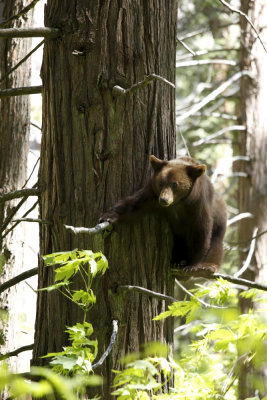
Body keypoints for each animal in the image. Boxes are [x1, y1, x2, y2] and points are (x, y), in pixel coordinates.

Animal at [100, 155, 228, 274]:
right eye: (161, 182)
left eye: (175, 184)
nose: (164, 200)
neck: (179, 202)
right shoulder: (151, 196)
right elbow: (132, 205)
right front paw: (107, 217)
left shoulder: (198, 203)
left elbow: (201, 231)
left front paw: (192, 265)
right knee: (179, 241)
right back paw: (177, 261)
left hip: (220, 221)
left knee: (216, 243)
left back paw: (208, 266)